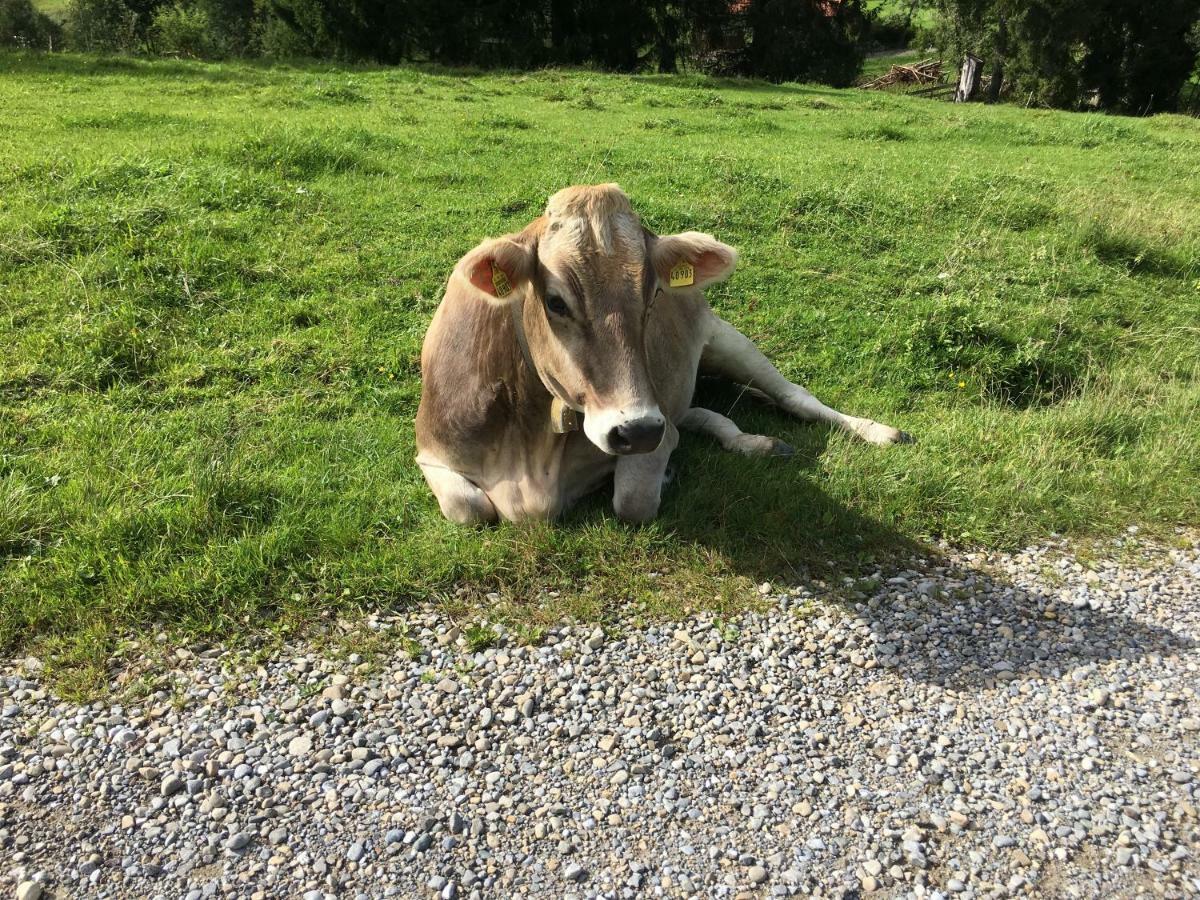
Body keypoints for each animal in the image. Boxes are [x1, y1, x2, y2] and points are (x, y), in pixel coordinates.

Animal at [415, 183, 907, 525]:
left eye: (653, 295)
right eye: (556, 302)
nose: (637, 429)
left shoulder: (656, 433)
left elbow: (633, 500)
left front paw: (663, 476)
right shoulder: (430, 450)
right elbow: (469, 508)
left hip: (726, 340)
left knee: (795, 398)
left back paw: (879, 432)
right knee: (701, 414)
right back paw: (754, 441)